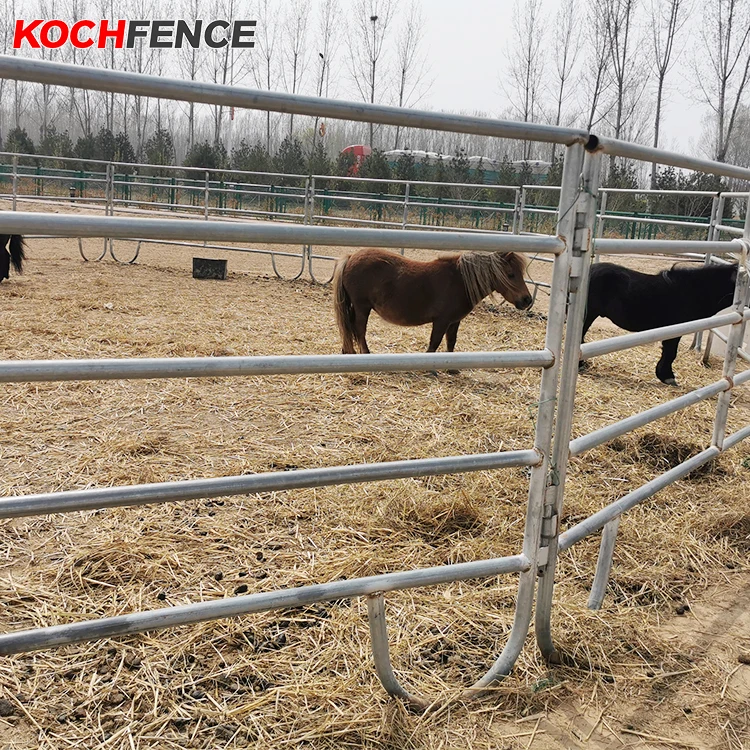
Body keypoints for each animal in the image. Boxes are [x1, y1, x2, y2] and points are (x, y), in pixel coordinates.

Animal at [333, 248, 533, 355]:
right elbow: (434, 342)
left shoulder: (454, 321)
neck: (459, 281)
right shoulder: (441, 321)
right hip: (362, 307)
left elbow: (451, 342)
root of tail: (351, 257)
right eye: (510, 274)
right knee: (359, 330)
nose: (527, 300)